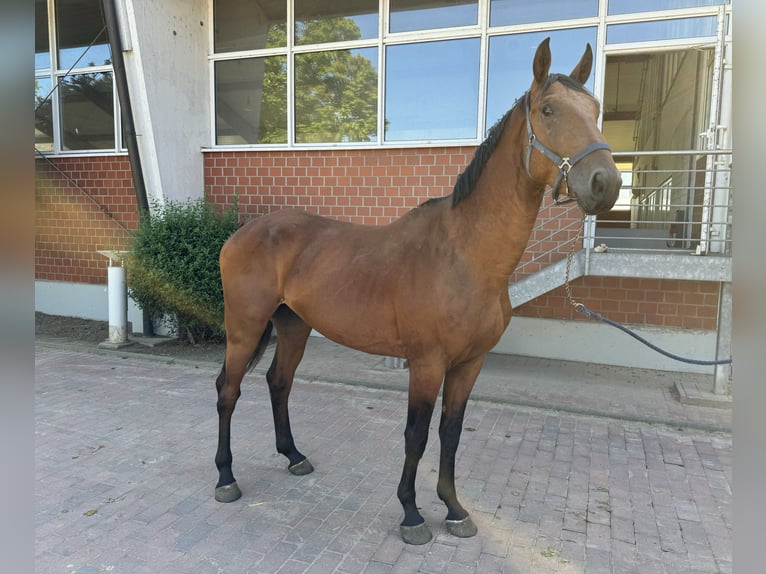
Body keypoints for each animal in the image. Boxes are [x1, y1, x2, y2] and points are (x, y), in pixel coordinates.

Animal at [213, 37, 621, 545]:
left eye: (595, 109)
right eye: (548, 110)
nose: (607, 183)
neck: (464, 256)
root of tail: (242, 233)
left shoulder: (469, 364)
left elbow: (451, 432)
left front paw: (454, 509)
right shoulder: (426, 364)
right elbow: (417, 434)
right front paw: (411, 514)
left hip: (294, 327)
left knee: (278, 382)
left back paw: (294, 456)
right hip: (244, 328)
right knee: (228, 390)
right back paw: (226, 478)